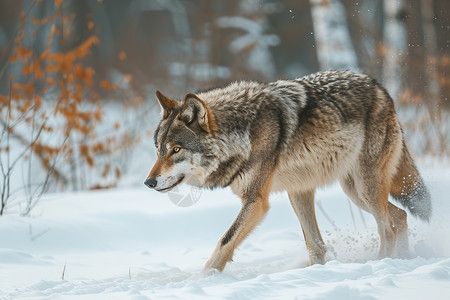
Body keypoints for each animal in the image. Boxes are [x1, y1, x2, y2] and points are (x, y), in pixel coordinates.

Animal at [145, 71, 432, 272]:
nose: (149, 182)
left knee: (388, 227)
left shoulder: (256, 201)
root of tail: (380, 87)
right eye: (159, 149)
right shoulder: (282, 194)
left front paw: (204, 278)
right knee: (399, 216)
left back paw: (383, 262)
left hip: (364, 189)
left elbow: (225, 241)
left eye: (176, 149)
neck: (241, 131)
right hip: (345, 192)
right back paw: (402, 258)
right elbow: (314, 245)